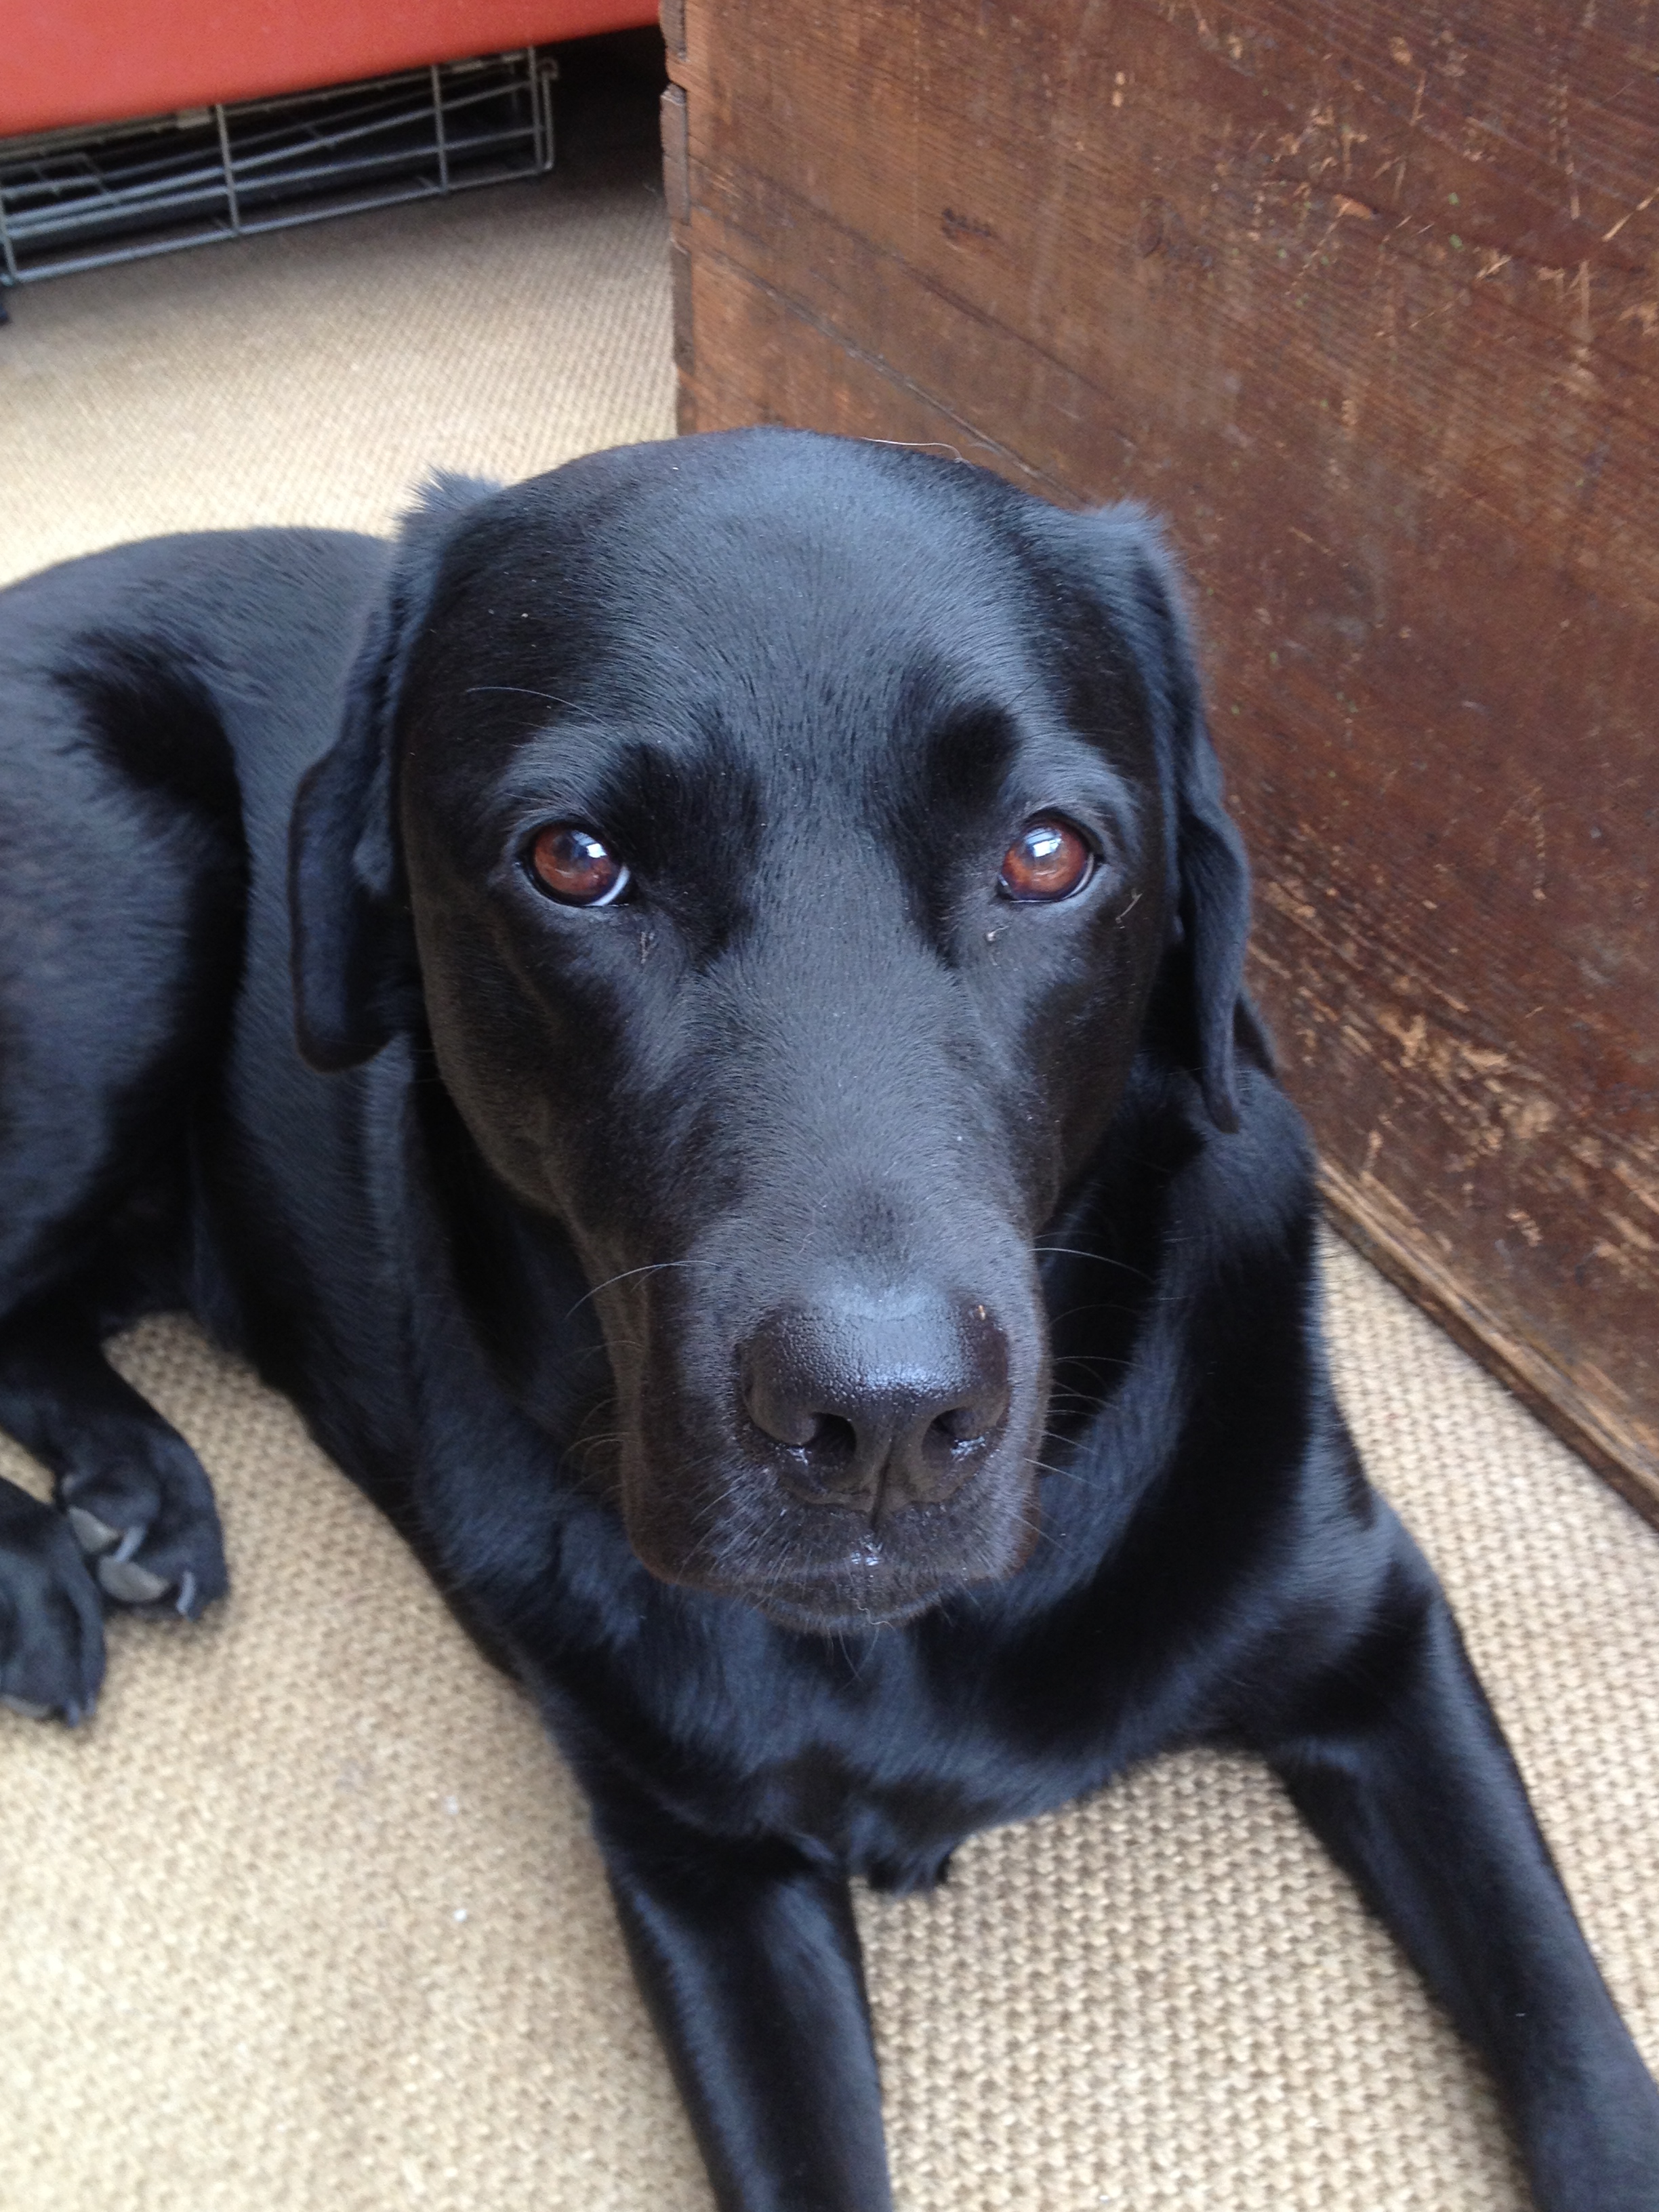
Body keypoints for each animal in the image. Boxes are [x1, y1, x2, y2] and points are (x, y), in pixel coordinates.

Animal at [0, 430, 1654, 2211]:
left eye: (1046, 854)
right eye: (574, 860)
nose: (880, 1424)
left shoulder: (1373, 1628)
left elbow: (1567, 2024)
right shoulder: (697, 1861)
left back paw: (132, 1490)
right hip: (136, 901)